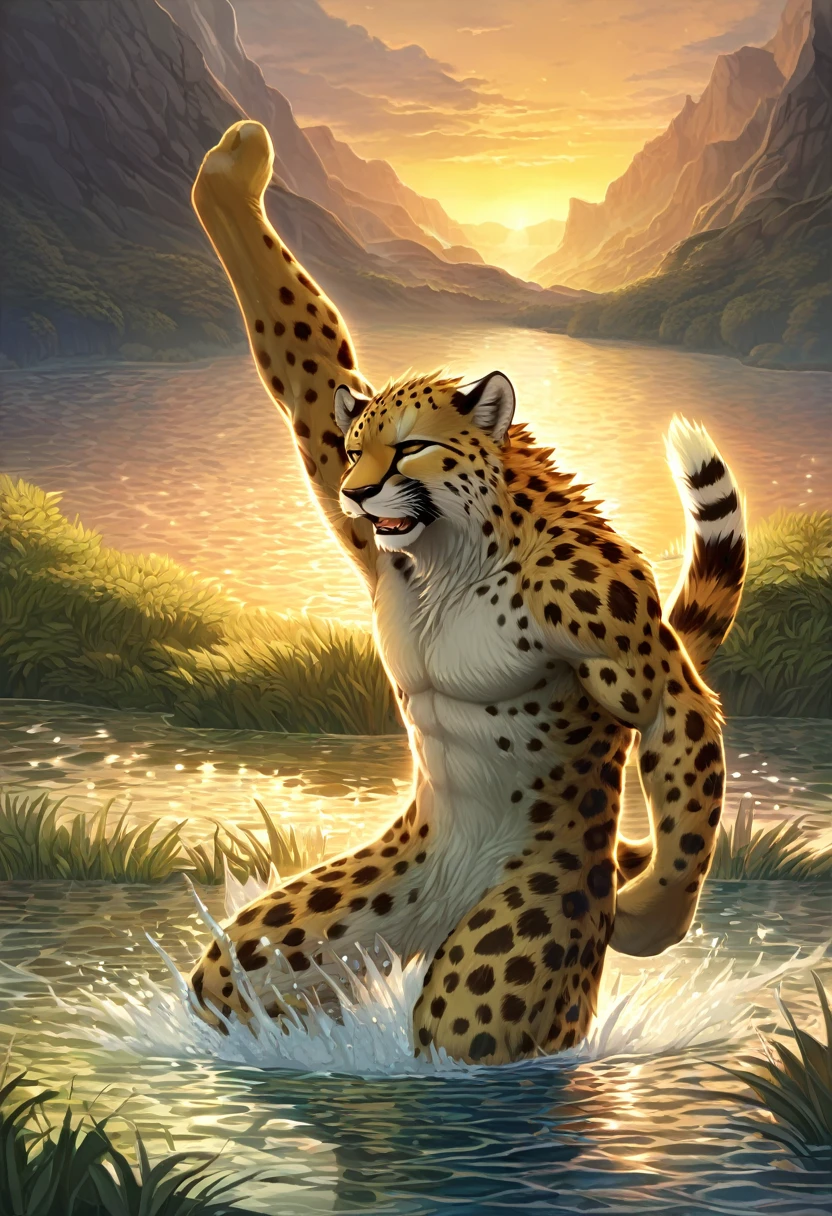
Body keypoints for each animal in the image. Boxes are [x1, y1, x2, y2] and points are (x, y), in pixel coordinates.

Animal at [184, 120, 747, 1065]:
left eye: (411, 447)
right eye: (355, 448)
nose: (355, 494)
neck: (455, 552)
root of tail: (449, 897)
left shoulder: (621, 636)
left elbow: (679, 724)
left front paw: (652, 918)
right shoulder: (359, 514)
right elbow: (305, 362)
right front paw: (232, 171)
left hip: (507, 949)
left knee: (467, 1032)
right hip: (338, 918)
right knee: (230, 980)